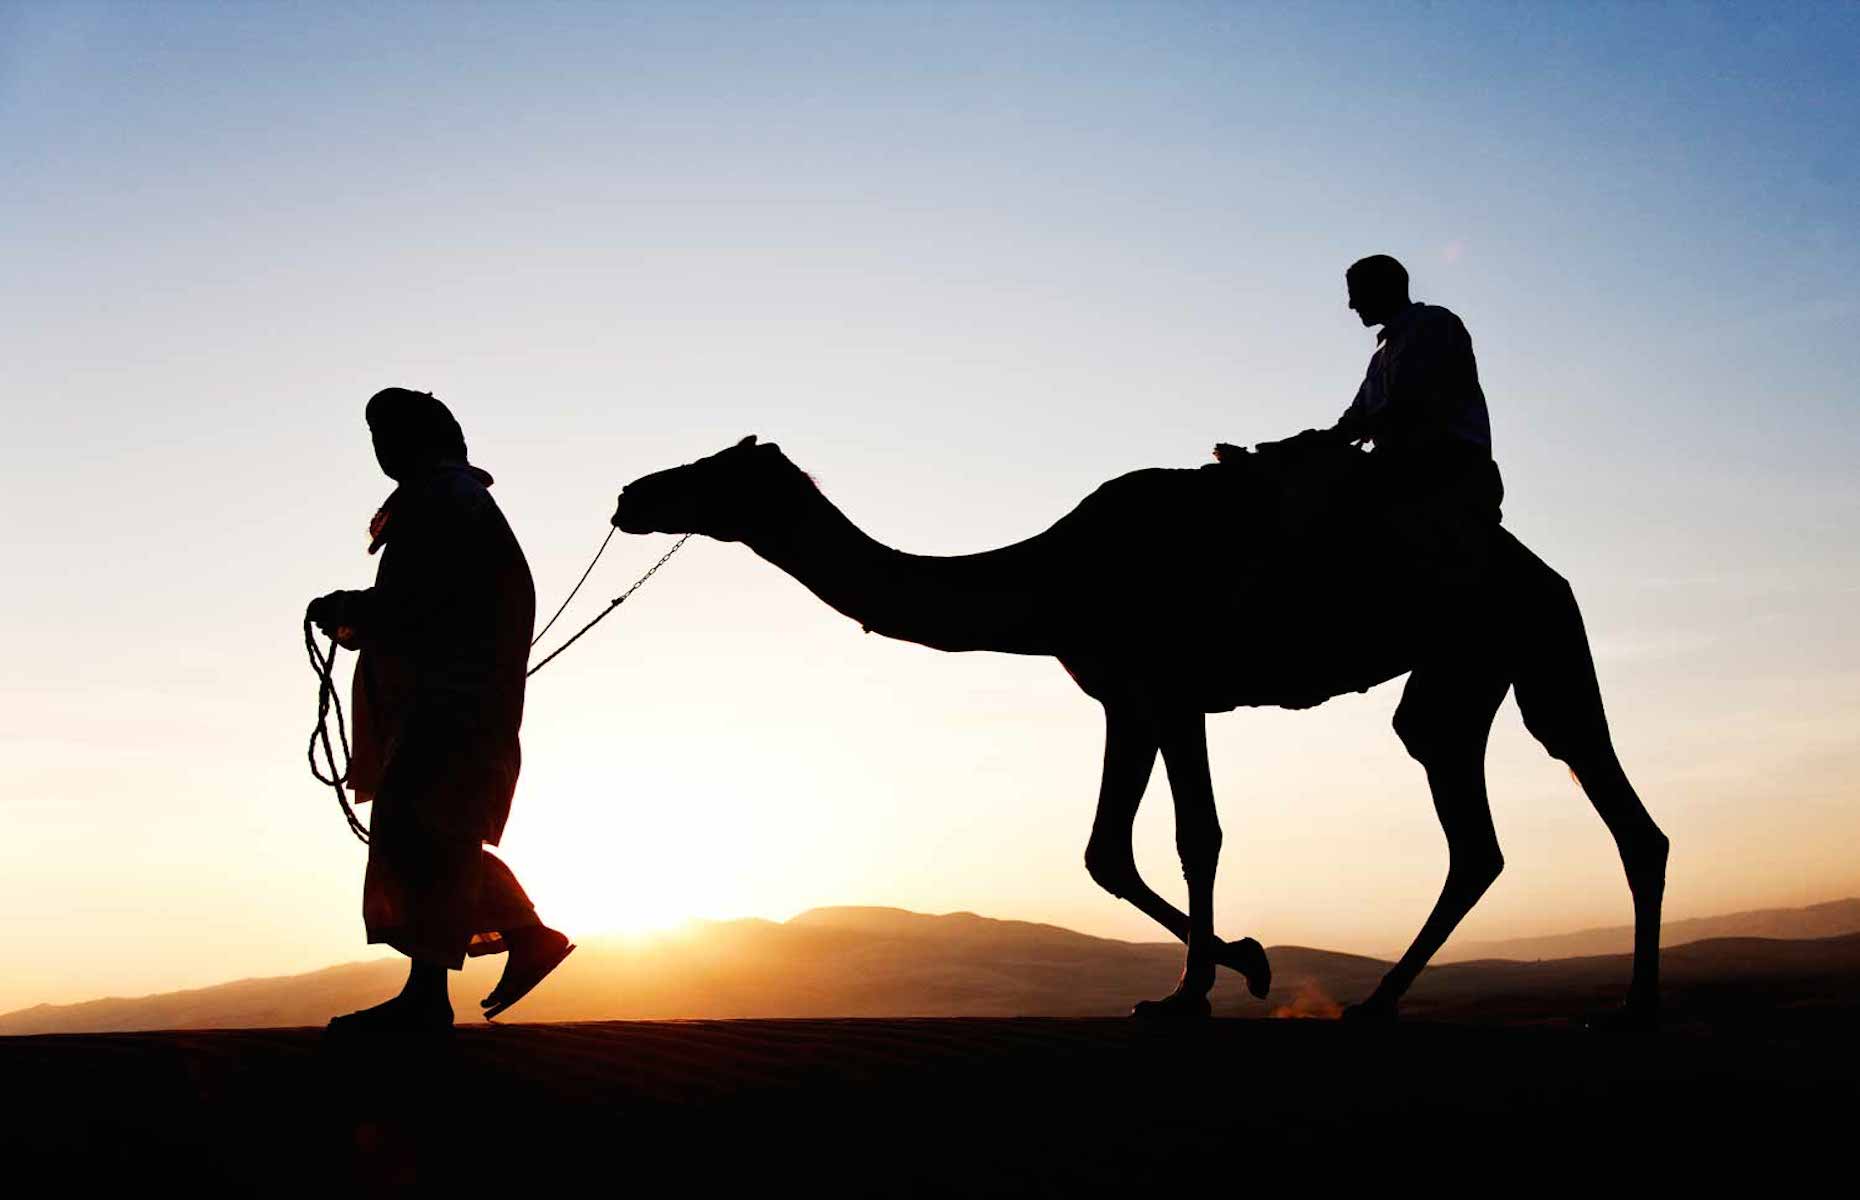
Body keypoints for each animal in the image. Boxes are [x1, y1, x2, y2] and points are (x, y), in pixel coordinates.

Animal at [610, 435, 1674, 1026]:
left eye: (715, 470)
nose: (630, 494)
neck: (1052, 577)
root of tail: (1541, 568)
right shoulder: (1124, 696)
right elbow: (1104, 853)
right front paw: (1238, 965)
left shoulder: (1172, 684)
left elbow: (1193, 834)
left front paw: (1201, 988)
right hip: (1478, 671)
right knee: (1506, 826)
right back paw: (1391, 1002)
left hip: (1516, 637)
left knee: (1580, 805)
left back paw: (1624, 1009)